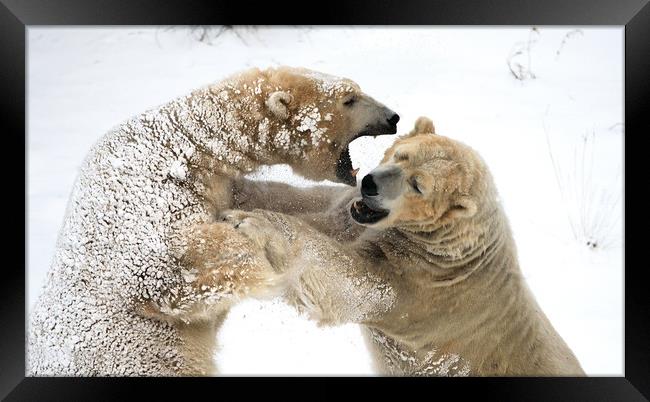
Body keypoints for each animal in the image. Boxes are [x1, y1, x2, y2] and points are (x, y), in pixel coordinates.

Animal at [27, 66, 398, 376]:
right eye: (349, 99)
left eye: (356, 89)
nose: (393, 117)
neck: (185, 148)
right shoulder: (145, 200)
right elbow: (161, 267)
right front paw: (266, 260)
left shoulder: (219, 185)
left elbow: (276, 197)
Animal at [211, 118, 584, 376]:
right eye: (402, 155)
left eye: (418, 185)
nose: (369, 183)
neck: (456, 248)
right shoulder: (357, 217)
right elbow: (319, 205)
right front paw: (233, 189)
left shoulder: (419, 286)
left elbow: (348, 279)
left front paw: (250, 222)